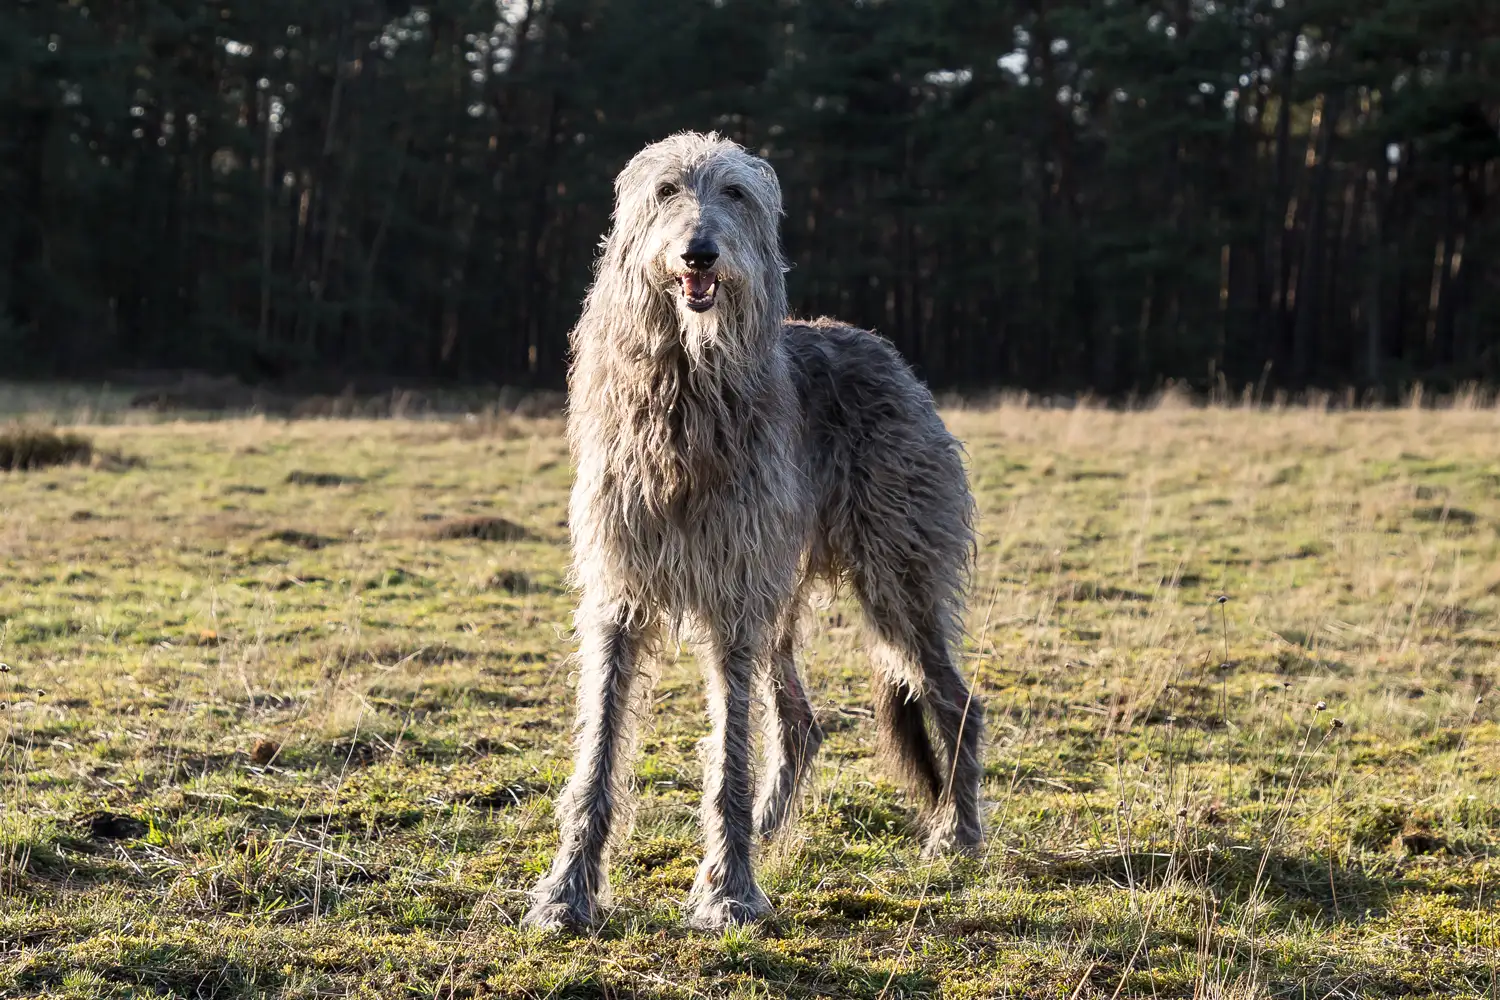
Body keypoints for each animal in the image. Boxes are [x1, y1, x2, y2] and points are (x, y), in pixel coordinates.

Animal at [522, 131, 978, 929]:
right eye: (667, 190)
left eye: (735, 192)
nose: (699, 253)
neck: (684, 390)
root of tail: (884, 351)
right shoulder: (620, 591)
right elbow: (599, 749)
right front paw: (568, 889)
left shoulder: (734, 595)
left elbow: (729, 752)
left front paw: (729, 888)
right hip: (786, 590)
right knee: (799, 719)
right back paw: (770, 827)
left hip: (894, 575)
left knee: (955, 702)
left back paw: (959, 833)